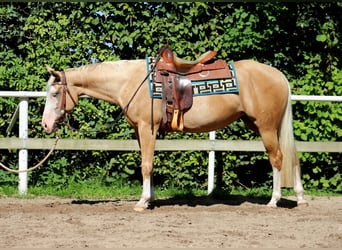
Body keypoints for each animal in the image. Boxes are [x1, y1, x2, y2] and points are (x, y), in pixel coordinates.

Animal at [41, 55, 308, 210]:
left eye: (54, 93)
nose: (45, 125)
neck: (131, 81)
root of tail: (279, 75)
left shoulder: (147, 128)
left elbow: (146, 165)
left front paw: (142, 202)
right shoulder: (141, 131)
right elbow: (148, 164)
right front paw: (149, 197)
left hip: (266, 127)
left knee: (277, 158)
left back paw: (273, 201)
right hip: (265, 125)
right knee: (292, 157)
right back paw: (300, 198)